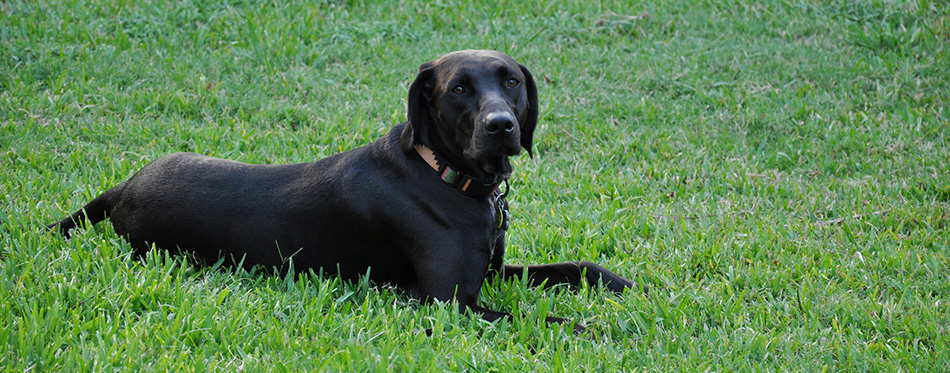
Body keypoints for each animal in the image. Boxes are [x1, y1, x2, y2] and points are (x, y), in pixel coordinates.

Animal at [46, 49, 640, 332]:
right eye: (459, 88)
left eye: (511, 81)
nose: (501, 126)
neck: (447, 178)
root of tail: (125, 185)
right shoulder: (451, 301)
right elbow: (550, 320)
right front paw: (606, 331)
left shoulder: (493, 273)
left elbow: (576, 269)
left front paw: (631, 289)